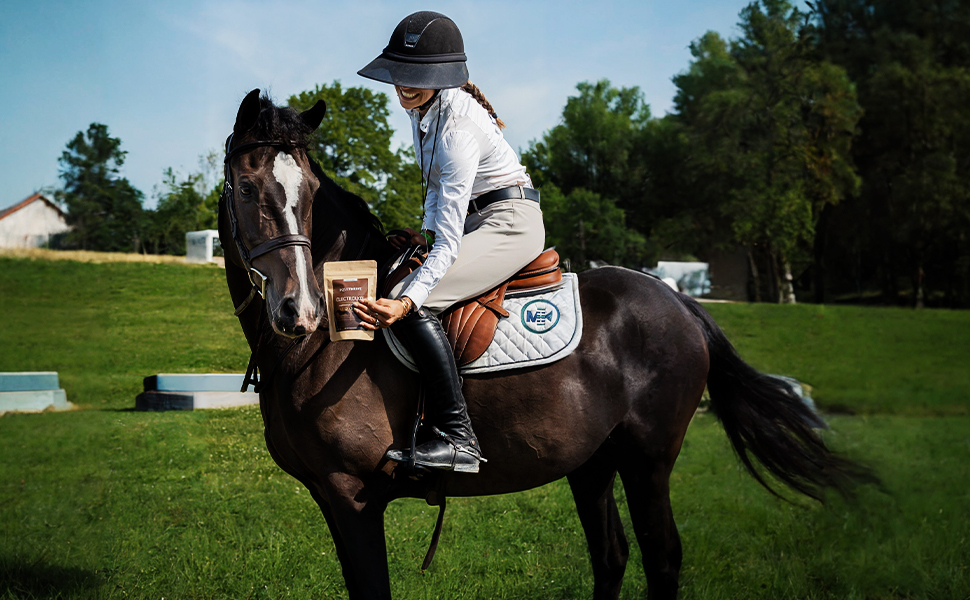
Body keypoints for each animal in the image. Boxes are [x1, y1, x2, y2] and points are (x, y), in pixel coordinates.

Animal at [217, 89, 870, 600]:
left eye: (308, 194)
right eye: (246, 190)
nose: (298, 312)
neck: (325, 340)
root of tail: (680, 302)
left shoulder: (351, 496)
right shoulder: (332, 499)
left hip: (648, 461)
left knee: (662, 559)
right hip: (593, 462)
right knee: (611, 557)